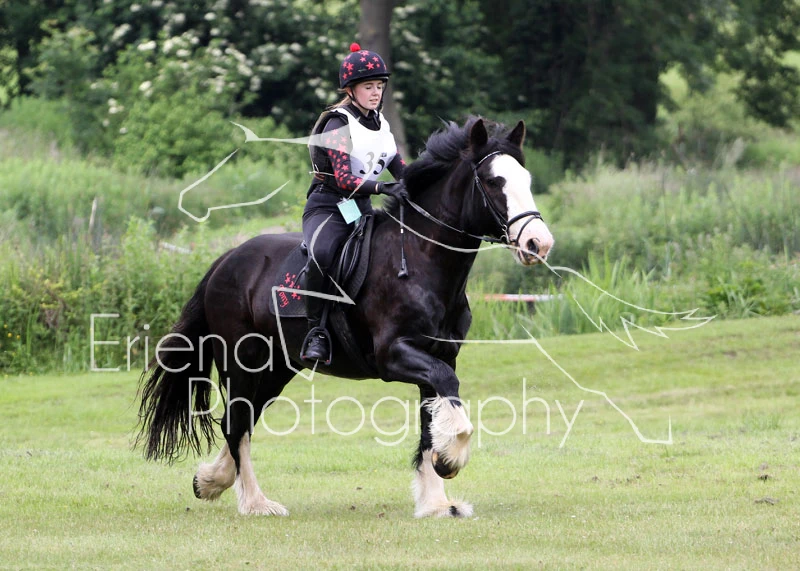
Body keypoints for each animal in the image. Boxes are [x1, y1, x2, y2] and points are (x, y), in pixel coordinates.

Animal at [135, 117, 554, 518]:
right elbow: (448, 399)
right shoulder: (395, 355)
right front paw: (450, 460)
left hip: (278, 367)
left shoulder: (439, 355)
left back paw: (210, 480)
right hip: (243, 362)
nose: (539, 243)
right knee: (236, 423)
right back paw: (254, 502)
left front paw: (436, 503)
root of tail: (226, 260)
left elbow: (430, 423)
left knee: (244, 421)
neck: (420, 261)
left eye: (527, 180)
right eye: (494, 181)